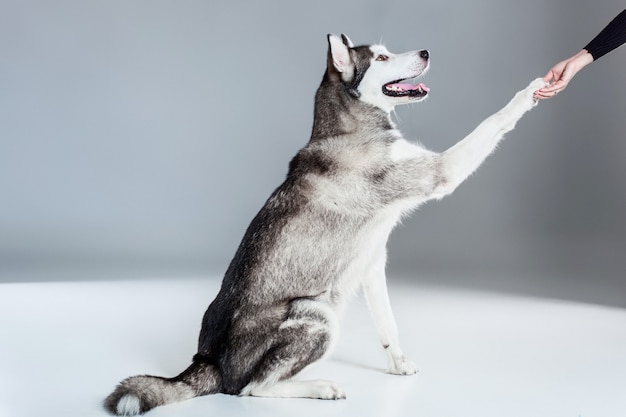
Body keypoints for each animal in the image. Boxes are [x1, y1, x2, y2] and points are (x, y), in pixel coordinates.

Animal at [105, 34, 544, 414]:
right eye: (381, 58)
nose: (425, 51)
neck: (352, 127)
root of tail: (207, 361)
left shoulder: (372, 260)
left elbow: (388, 323)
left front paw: (398, 363)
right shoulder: (441, 172)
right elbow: (492, 122)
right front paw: (530, 92)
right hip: (318, 314)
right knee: (251, 388)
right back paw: (319, 387)